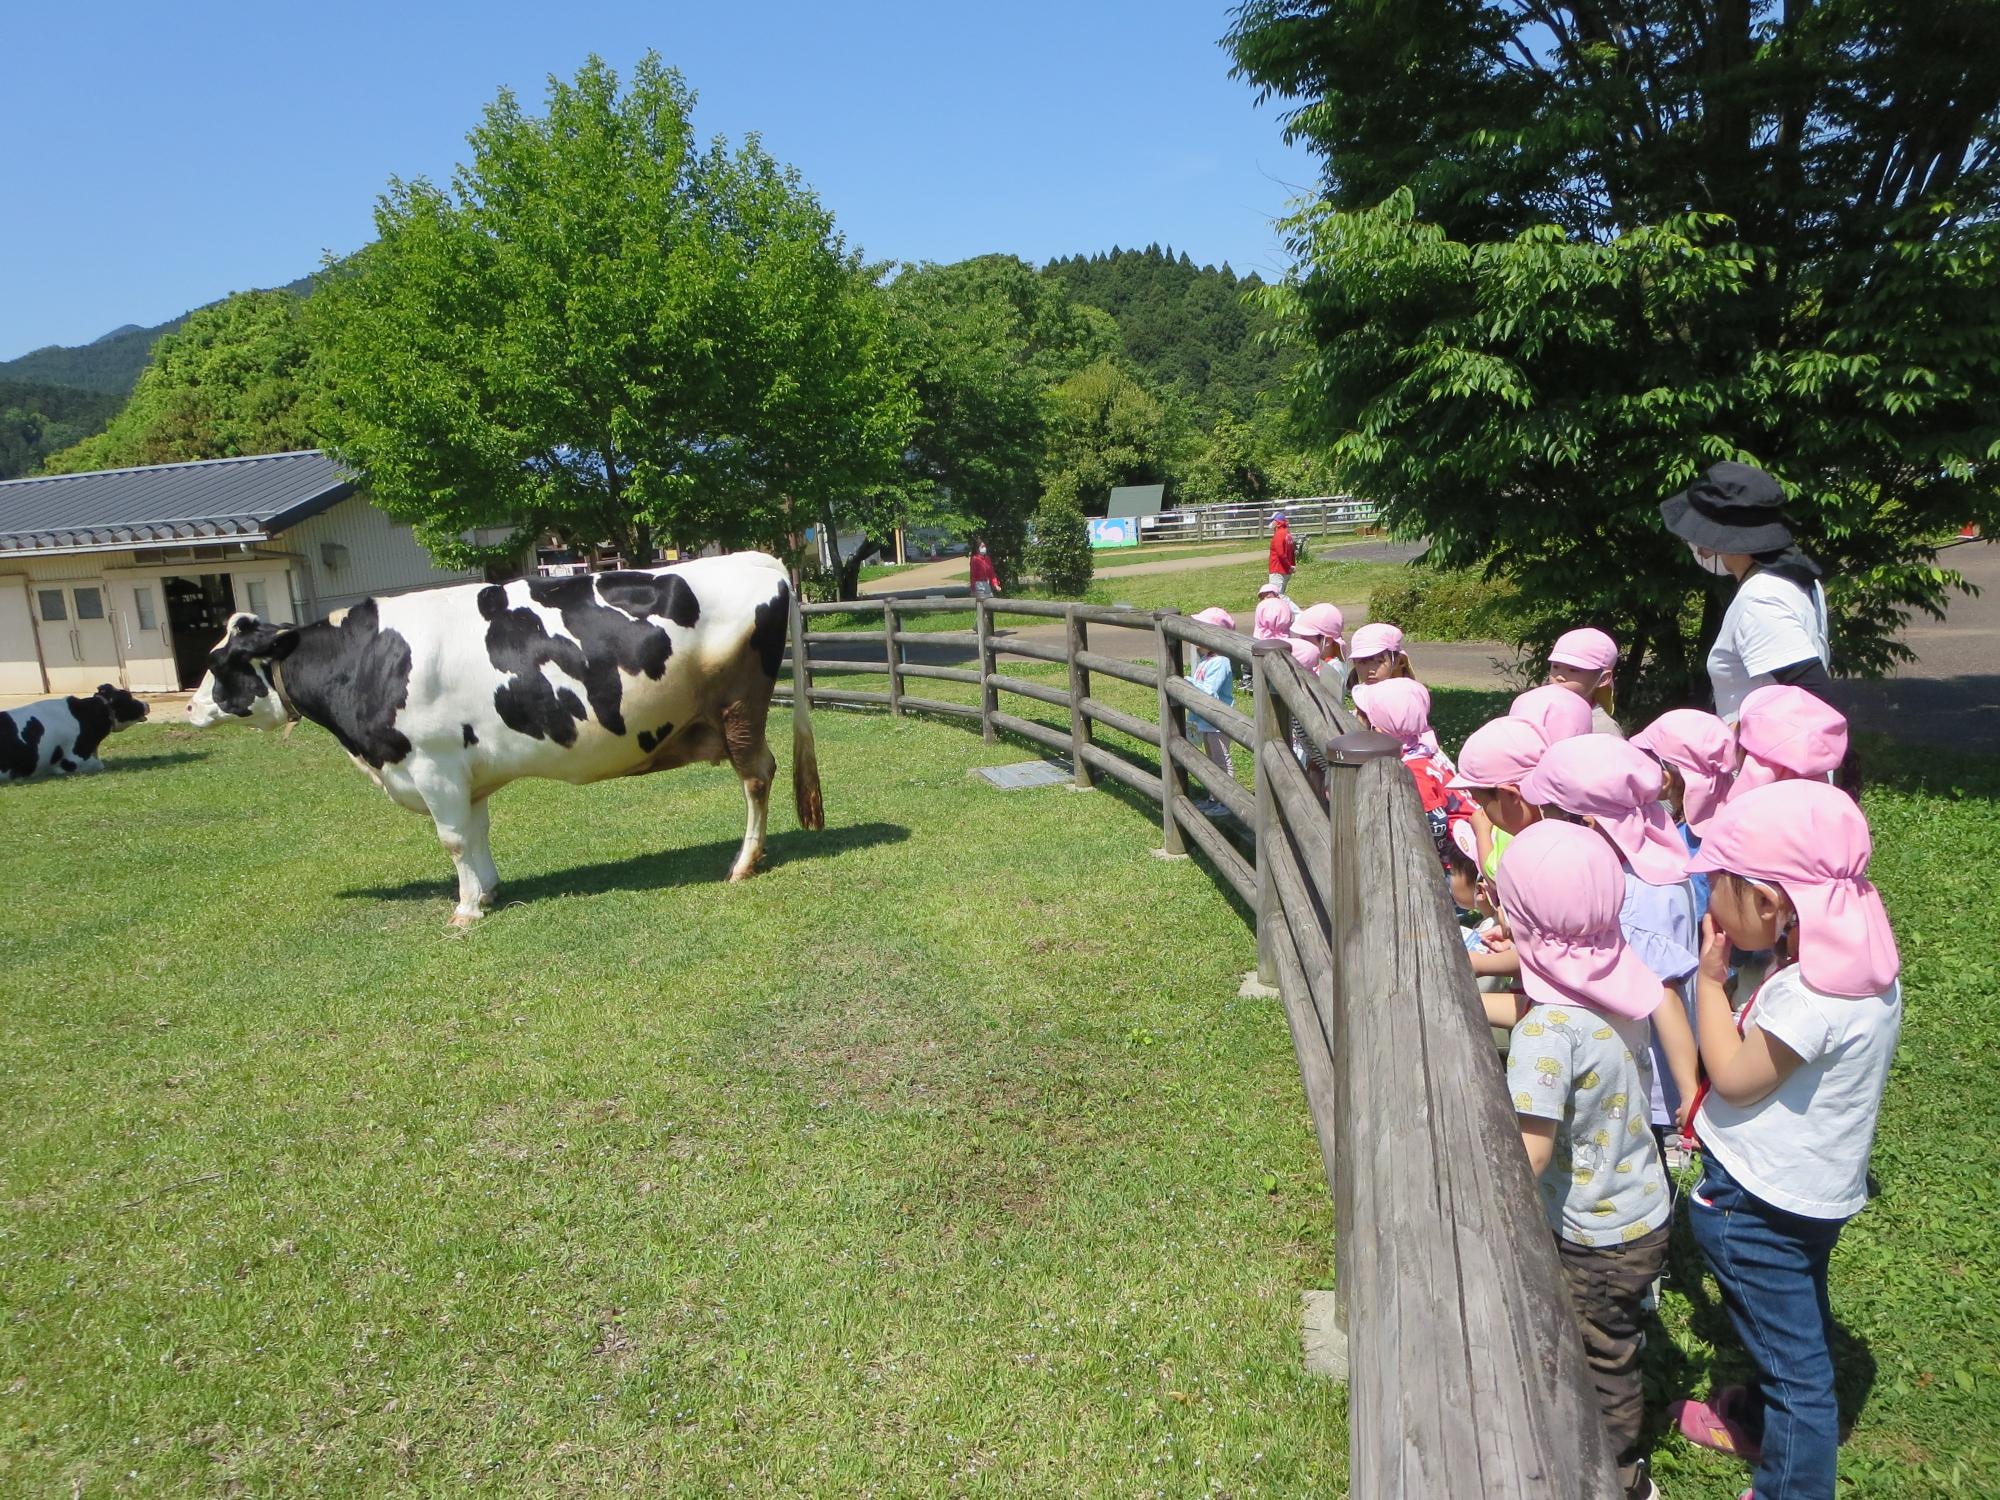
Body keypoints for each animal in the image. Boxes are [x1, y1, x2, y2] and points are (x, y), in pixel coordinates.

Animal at [182, 552, 820, 924]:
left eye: (218, 663)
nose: (188, 706)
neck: (367, 660)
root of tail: (754, 558)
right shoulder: (466, 770)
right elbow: (476, 832)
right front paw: (487, 891)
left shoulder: (433, 763)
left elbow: (452, 840)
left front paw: (465, 910)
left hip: (738, 709)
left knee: (756, 777)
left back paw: (742, 863)